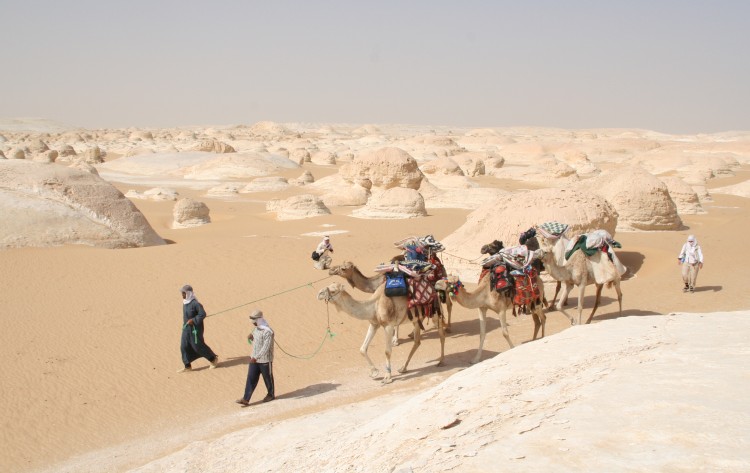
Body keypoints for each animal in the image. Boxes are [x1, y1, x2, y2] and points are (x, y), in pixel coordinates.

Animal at [314, 282, 444, 382]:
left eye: (333, 290)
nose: (319, 293)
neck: (374, 305)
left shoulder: (388, 325)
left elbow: (387, 351)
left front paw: (387, 377)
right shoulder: (374, 324)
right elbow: (362, 348)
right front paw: (374, 372)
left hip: (435, 312)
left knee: (441, 335)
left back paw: (441, 362)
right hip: (416, 319)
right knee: (417, 342)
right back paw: (403, 368)